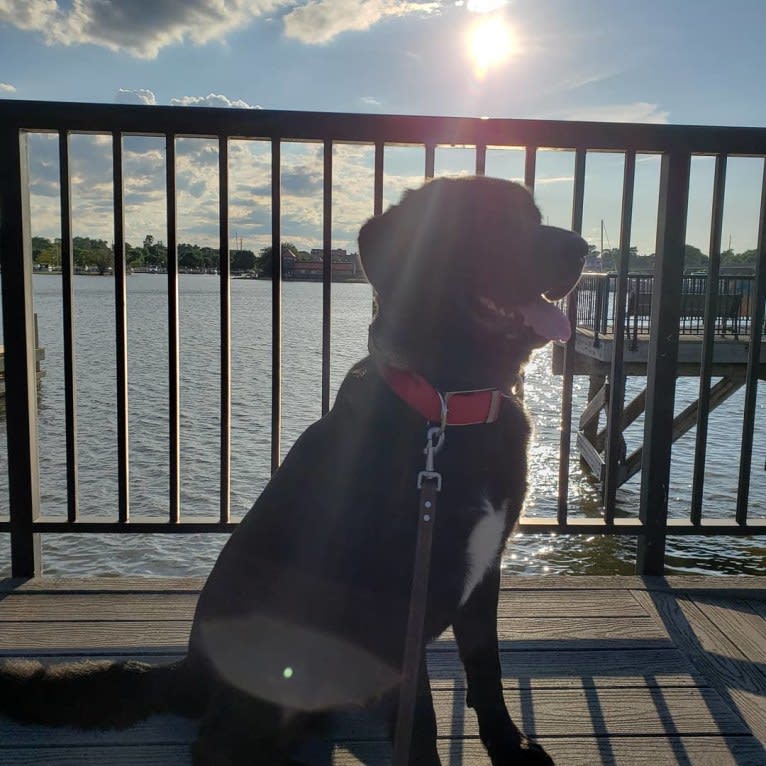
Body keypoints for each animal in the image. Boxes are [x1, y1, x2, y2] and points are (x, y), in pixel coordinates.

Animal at [1, 177, 588, 764]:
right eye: (490, 221)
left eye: (536, 216)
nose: (581, 248)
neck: (447, 406)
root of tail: (192, 671)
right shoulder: (394, 599)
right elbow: (419, 717)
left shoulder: (485, 568)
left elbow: (487, 670)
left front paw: (512, 747)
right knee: (216, 744)